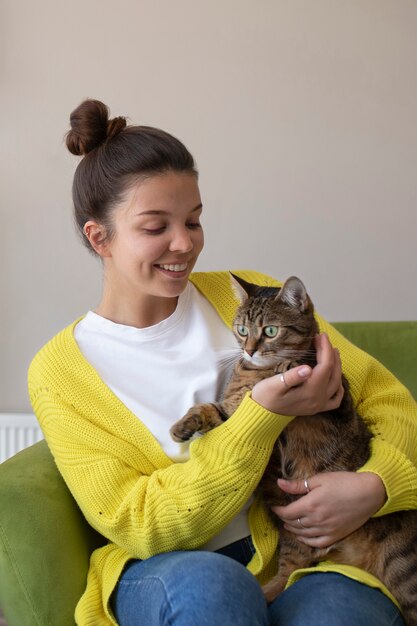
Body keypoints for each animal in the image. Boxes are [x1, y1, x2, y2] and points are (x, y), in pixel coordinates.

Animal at [171, 272, 416, 624]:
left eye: (270, 331)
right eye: (242, 330)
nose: (249, 350)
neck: (255, 373)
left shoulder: (337, 401)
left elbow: (296, 365)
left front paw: (288, 365)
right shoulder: (233, 415)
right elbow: (207, 408)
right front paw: (183, 426)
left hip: (402, 568)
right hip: (294, 539)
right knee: (288, 574)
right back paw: (263, 592)